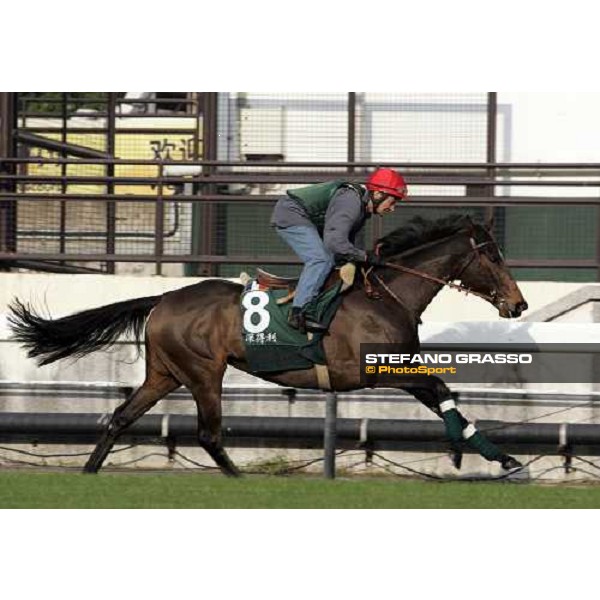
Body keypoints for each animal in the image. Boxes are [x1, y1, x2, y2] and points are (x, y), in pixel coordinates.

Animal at [7, 213, 528, 476]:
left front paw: (489, 455)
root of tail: (163, 297)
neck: (385, 294)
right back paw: (239, 480)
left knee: (120, 416)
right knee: (208, 434)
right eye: (493, 257)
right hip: (203, 373)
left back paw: (89, 472)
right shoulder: (376, 370)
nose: (518, 304)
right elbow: (440, 390)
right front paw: (491, 456)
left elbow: (442, 395)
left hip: (165, 373)